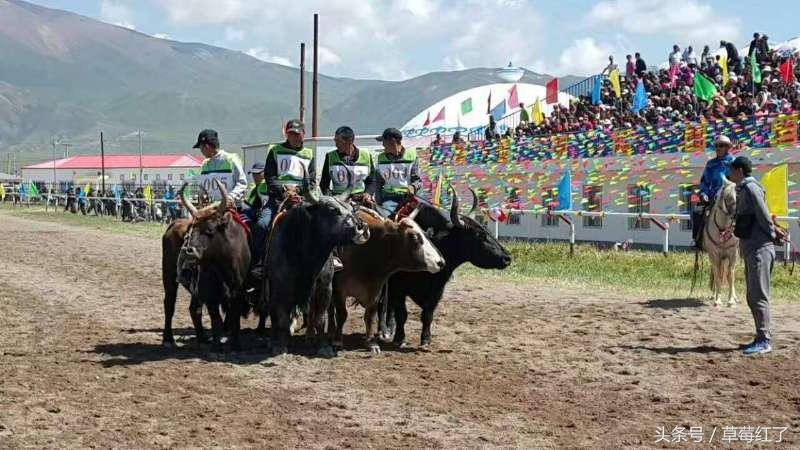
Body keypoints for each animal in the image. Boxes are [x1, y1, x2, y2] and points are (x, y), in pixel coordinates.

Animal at [162, 179, 250, 352]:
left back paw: (202, 338)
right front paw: (217, 346)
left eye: (209, 230)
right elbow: (216, 318)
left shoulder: (237, 290)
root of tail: (174, 223)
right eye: (192, 229)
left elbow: (234, 316)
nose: (188, 251)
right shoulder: (210, 292)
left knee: (194, 309)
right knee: (169, 304)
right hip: (169, 276)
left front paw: (236, 344)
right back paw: (168, 339)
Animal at [328, 209, 446, 354]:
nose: (440, 262)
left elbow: (370, 316)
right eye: (413, 236)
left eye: (426, 234)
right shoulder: (339, 289)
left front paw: (371, 343)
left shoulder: (375, 290)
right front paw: (337, 341)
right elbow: (341, 314)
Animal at [382, 192, 512, 346]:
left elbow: (427, 315)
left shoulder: (437, 290)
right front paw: (399, 338)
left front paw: (426, 339)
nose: (507, 258)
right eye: (480, 235)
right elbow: (402, 314)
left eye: (489, 231)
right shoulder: (399, 287)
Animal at [704, 178, 740, 308]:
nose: (735, 214)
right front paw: (717, 300)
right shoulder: (714, 254)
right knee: (716, 273)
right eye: (727, 196)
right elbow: (718, 276)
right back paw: (713, 295)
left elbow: (731, 276)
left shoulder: (733, 253)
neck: (723, 228)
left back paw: (735, 297)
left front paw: (731, 300)